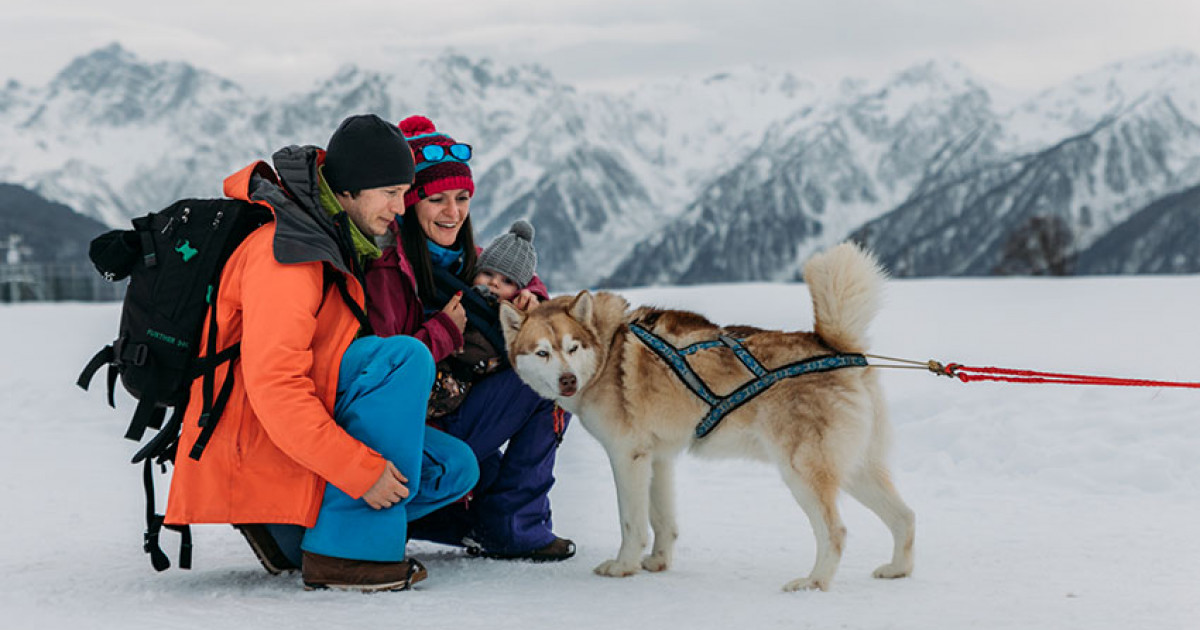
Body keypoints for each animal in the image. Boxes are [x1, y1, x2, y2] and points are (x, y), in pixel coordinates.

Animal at [501, 241, 912, 590]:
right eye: (542, 352)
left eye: (572, 347)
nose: (567, 379)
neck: (608, 346)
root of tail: (841, 350)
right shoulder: (658, 457)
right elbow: (662, 520)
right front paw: (658, 561)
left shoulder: (627, 456)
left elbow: (632, 522)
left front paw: (623, 566)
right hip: (856, 469)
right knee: (905, 516)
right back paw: (898, 569)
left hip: (803, 472)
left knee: (836, 532)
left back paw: (813, 582)